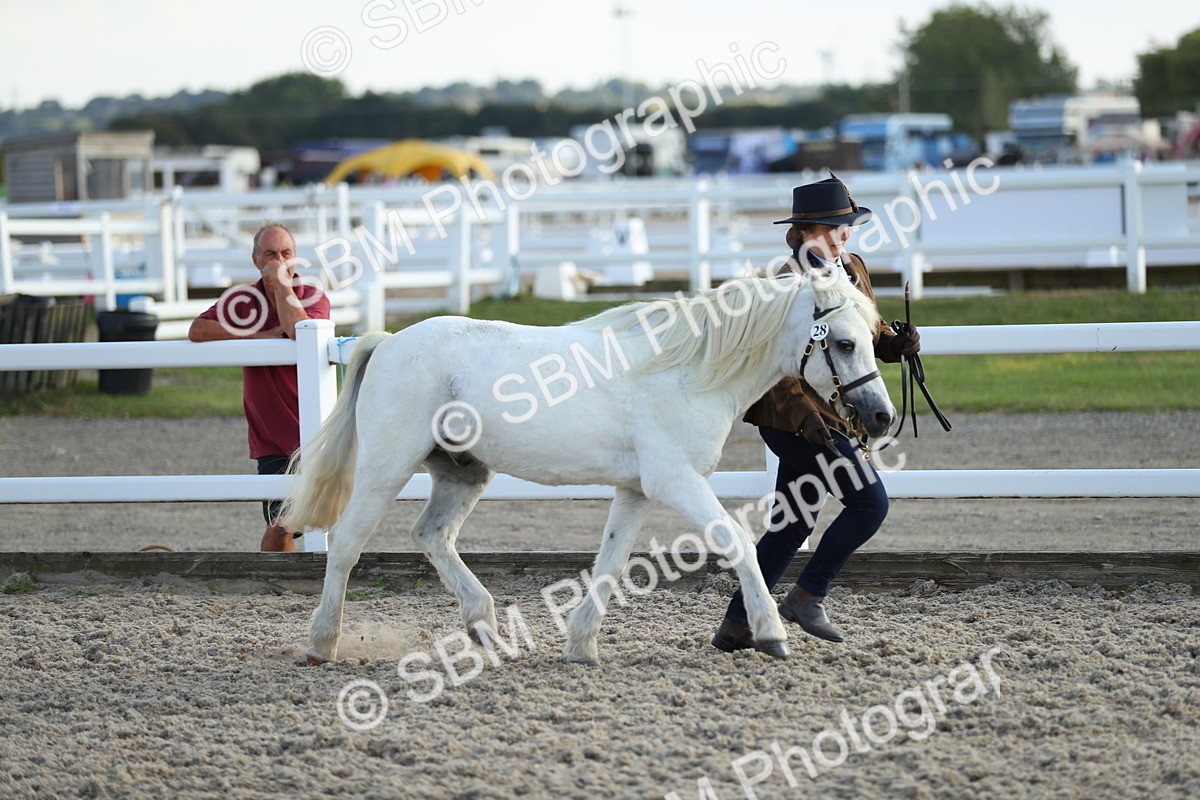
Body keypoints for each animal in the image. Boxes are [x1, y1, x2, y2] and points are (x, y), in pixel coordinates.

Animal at [281, 264, 895, 666]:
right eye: (843, 342)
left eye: (871, 338)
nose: (881, 416)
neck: (685, 371)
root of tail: (387, 343)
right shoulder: (676, 481)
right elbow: (739, 543)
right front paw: (770, 633)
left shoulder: (637, 491)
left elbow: (610, 563)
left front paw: (581, 645)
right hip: (386, 468)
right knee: (347, 543)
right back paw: (321, 643)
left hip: (463, 472)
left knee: (430, 534)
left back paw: (485, 627)